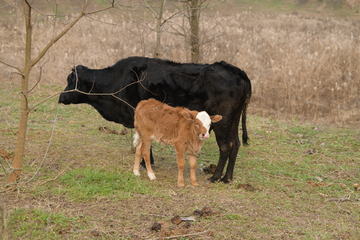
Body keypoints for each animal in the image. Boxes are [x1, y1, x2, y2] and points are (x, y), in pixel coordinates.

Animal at [58, 56, 250, 184]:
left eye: (71, 80)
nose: (61, 97)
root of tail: (234, 70)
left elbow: (145, 145)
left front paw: (145, 164)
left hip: (221, 122)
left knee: (225, 146)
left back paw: (215, 177)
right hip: (233, 121)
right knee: (236, 144)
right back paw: (227, 178)